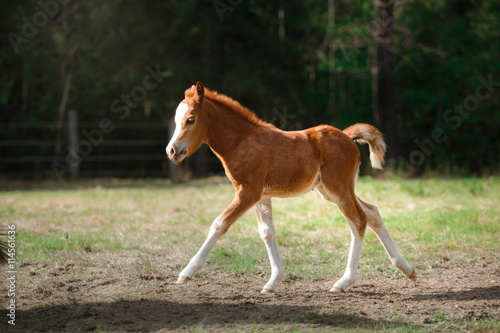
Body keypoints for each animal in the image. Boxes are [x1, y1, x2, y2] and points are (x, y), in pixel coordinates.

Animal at [166, 81, 416, 292]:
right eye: (177, 120)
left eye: (191, 119)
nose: (172, 150)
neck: (241, 141)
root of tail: (346, 136)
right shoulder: (261, 196)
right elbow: (267, 233)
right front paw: (272, 282)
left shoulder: (248, 191)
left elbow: (219, 224)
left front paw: (187, 272)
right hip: (332, 190)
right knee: (372, 212)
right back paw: (407, 269)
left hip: (338, 188)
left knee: (358, 219)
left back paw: (344, 281)